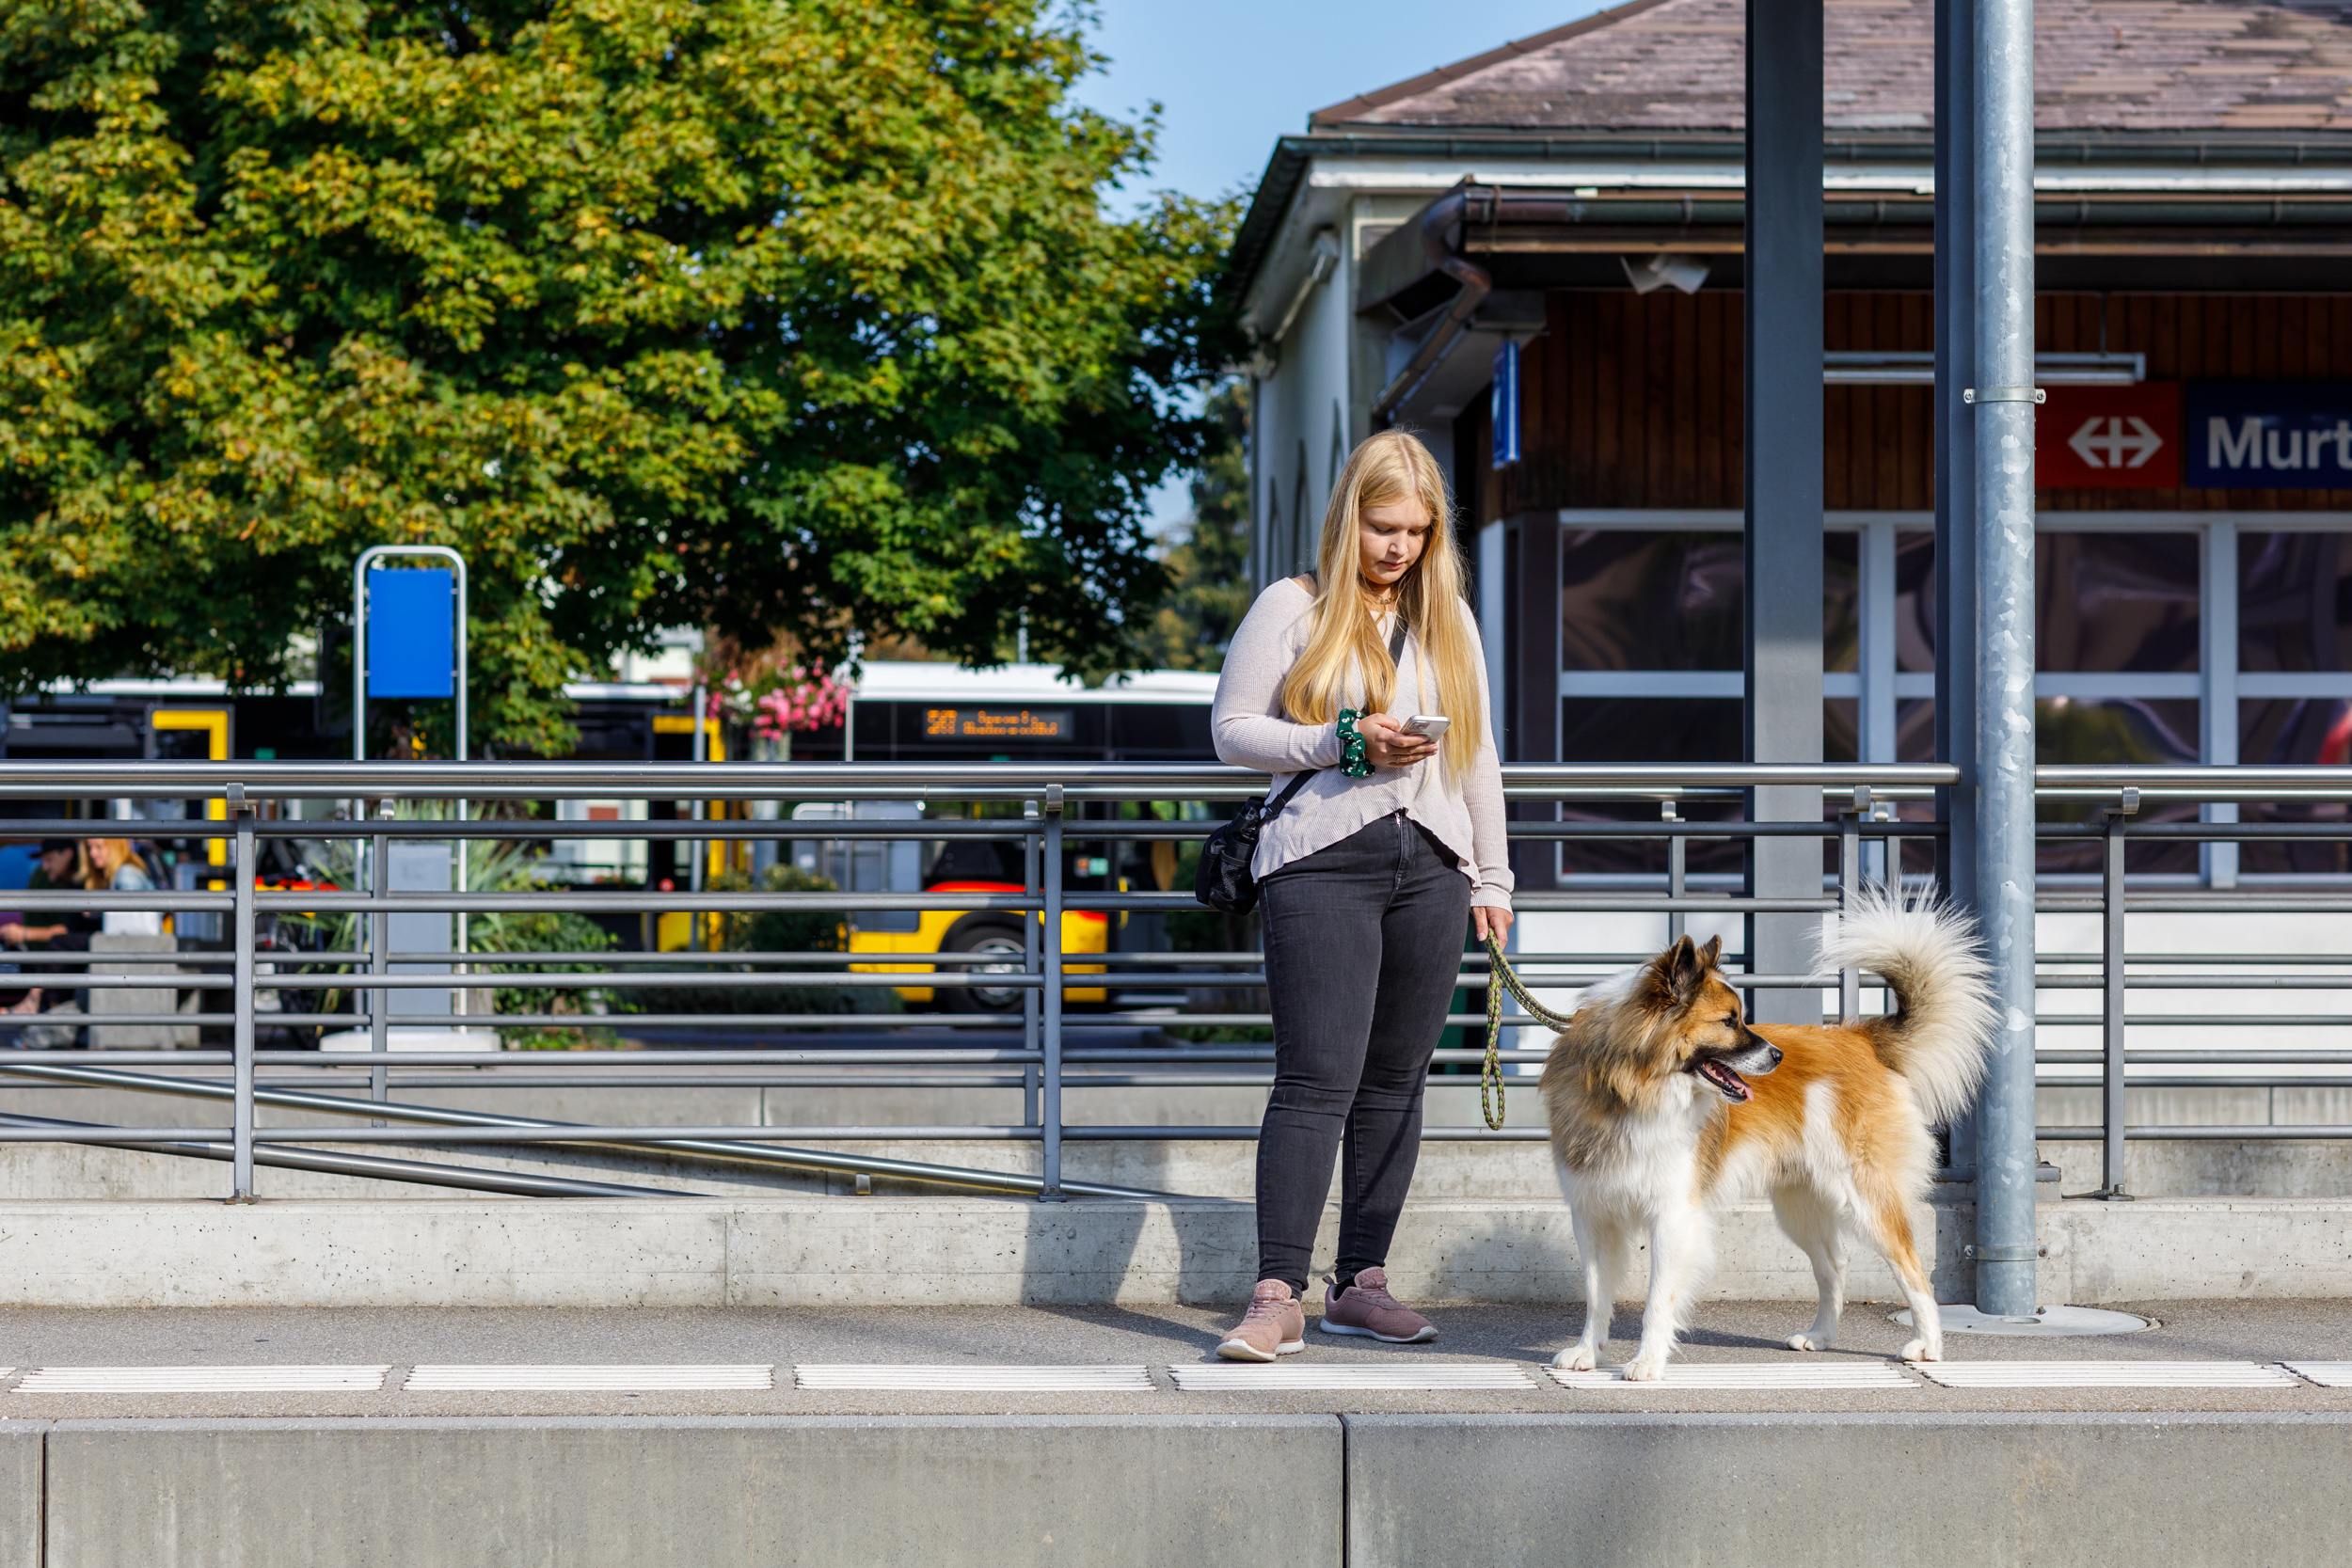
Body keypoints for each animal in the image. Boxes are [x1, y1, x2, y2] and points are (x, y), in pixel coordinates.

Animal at [1534, 888, 1994, 1382]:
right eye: (1729, 1021)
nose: (1777, 1056)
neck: (1631, 1089)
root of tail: (1862, 1040)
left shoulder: (1673, 1217)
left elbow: (1658, 1301)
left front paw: (1647, 1362)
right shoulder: (1592, 1215)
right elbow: (1596, 1295)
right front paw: (1588, 1353)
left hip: (1864, 1196)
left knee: (1911, 1266)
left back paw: (1929, 1345)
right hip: (1801, 1204)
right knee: (1834, 1265)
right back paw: (1821, 1336)